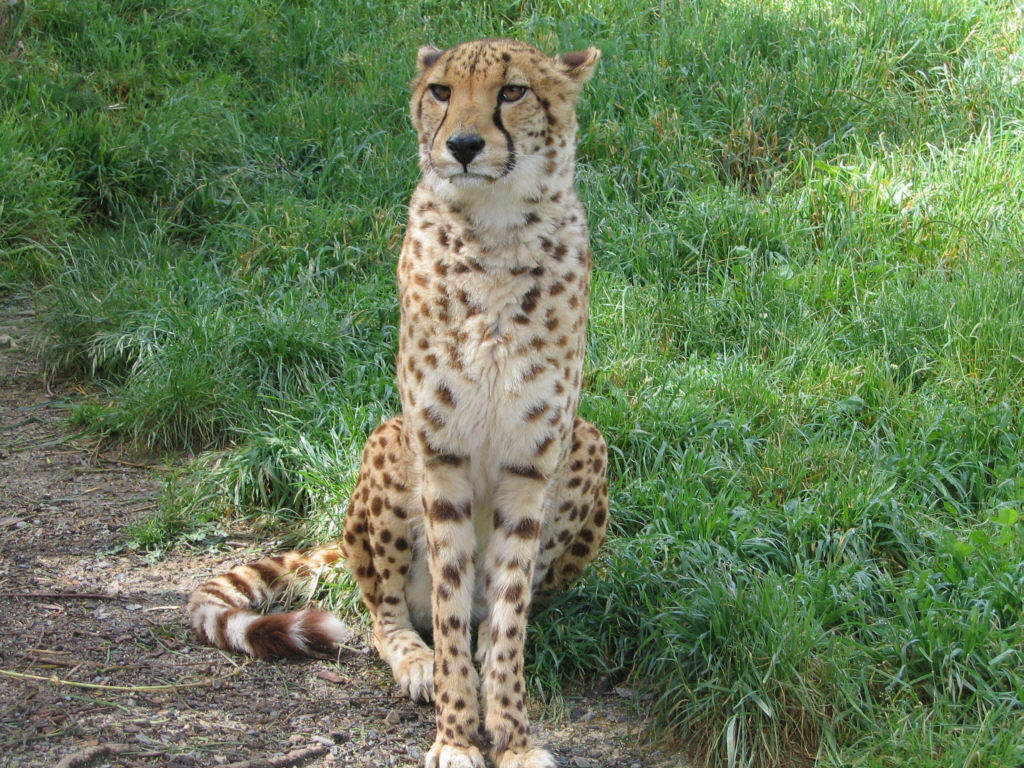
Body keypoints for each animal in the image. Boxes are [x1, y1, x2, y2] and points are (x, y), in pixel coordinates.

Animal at [187, 38, 608, 768]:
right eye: (441, 91)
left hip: (587, 442)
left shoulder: (534, 461)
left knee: (502, 610)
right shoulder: (440, 453)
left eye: (513, 91)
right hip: (388, 441)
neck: (496, 226)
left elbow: (508, 620)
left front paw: (513, 736)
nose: (463, 145)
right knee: (383, 608)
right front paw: (458, 735)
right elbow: (444, 602)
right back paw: (416, 661)